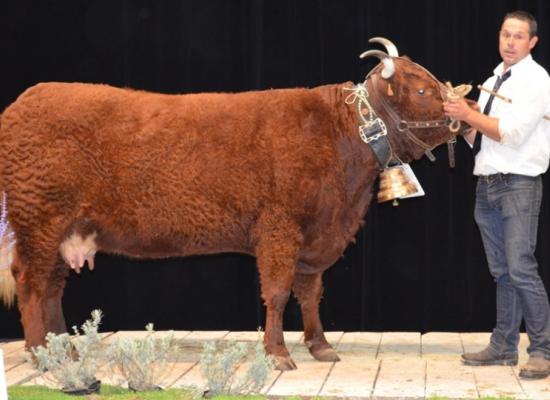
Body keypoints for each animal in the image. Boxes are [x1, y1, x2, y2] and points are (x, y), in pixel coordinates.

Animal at [0, 37, 470, 368]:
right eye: (423, 90)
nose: (464, 113)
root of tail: (25, 102)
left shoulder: (317, 235)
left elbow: (310, 293)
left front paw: (319, 346)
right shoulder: (279, 228)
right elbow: (278, 293)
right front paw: (278, 353)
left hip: (63, 229)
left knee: (51, 287)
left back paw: (63, 349)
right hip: (39, 220)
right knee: (31, 282)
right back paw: (41, 355)